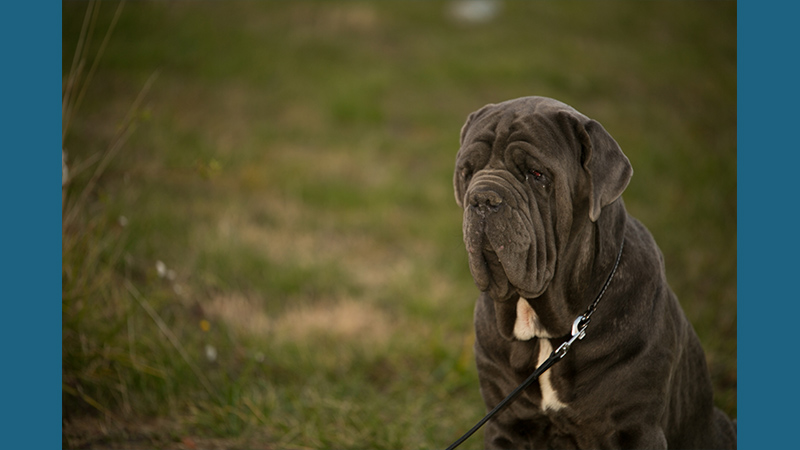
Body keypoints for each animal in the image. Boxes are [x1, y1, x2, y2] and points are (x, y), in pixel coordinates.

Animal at [454, 96, 736, 448]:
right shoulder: (507, 425)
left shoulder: (635, 429)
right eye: (467, 171)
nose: (482, 198)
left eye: (536, 173)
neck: (550, 332)